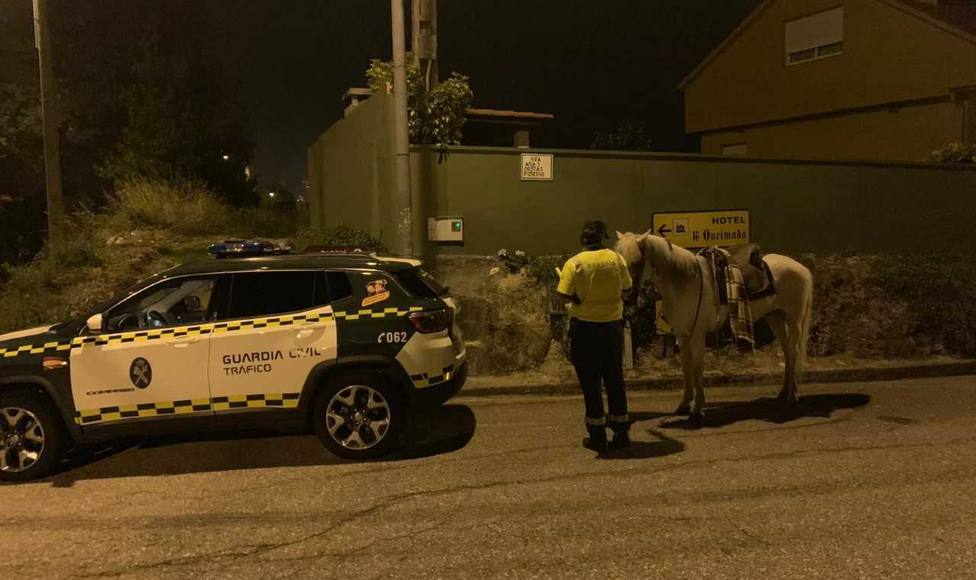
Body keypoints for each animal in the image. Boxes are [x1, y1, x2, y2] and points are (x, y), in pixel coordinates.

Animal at [616, 232, 816, 422]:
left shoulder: (697, 333)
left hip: (794, 320)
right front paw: (684, 404)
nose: (626, 297)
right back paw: (783, 392)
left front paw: (697, 409)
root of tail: (802, 268)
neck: (686, 281)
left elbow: (697, 367)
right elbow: (686, 367)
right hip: (775, 318)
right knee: (787, 352)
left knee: (794, 351)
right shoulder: (682, 333)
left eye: (636, 261)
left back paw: (793, 396)